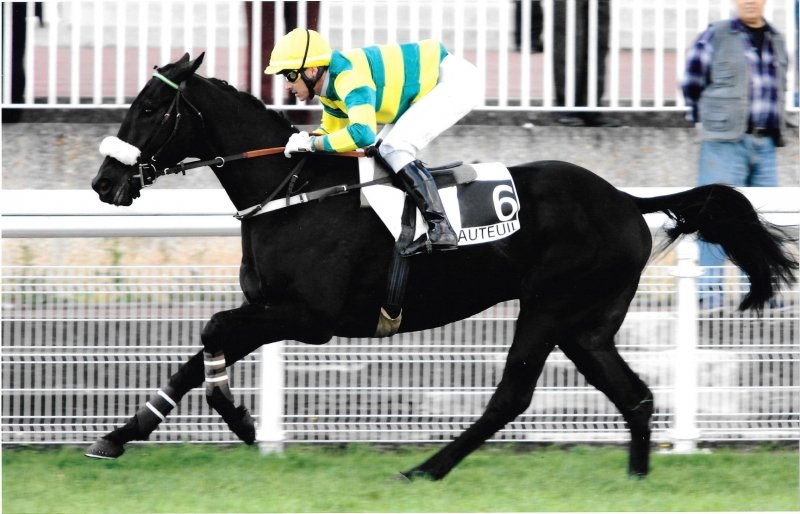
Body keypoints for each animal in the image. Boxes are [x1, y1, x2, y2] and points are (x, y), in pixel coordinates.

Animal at [88, 53, 796, 480]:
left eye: (149, 107)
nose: (103, 182)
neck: (292, 191)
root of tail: (625, 200)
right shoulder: (270, 308)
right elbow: (195, 354)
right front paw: (120, 435)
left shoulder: (310, 317)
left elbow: (211, 331)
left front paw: (237, 417)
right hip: (586, 325)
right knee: (636, 395)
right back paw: (637, 476)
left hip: (548, 308)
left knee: (513, 394)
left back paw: (426, 468)